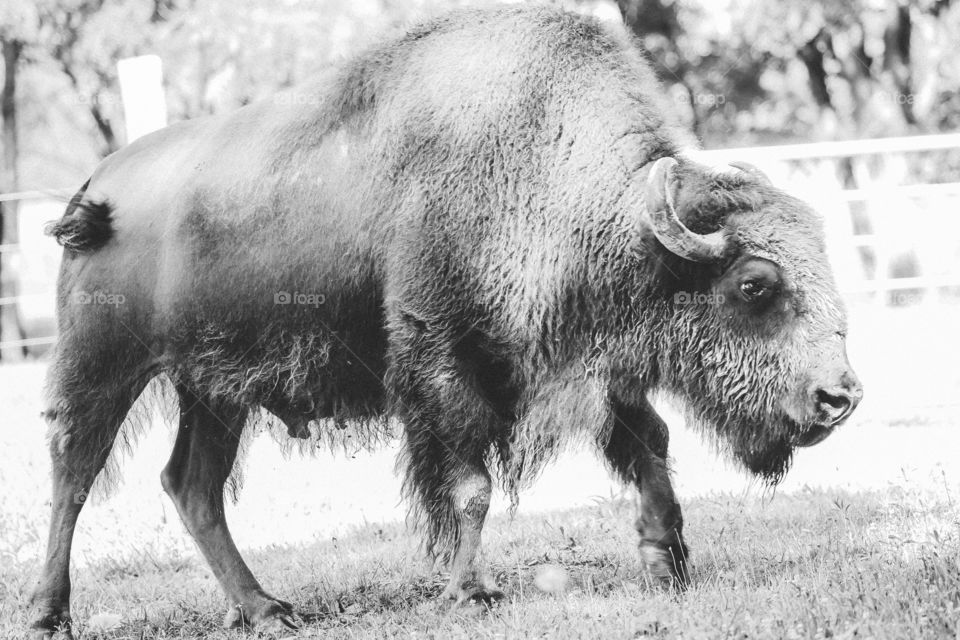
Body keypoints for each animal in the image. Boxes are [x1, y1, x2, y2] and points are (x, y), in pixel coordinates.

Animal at [30, 5, 861, 637]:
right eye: (754, 284)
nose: (840, 397)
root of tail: (97, 184)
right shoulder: (442, 365)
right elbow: (471, 485)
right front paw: (471, 591)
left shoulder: (596, 364)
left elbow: (647, 446)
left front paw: (668, 562)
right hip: (102, 367)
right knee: (74, 474)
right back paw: (51, 614)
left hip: (213, 391)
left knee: (192, 486)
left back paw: (266, 608)